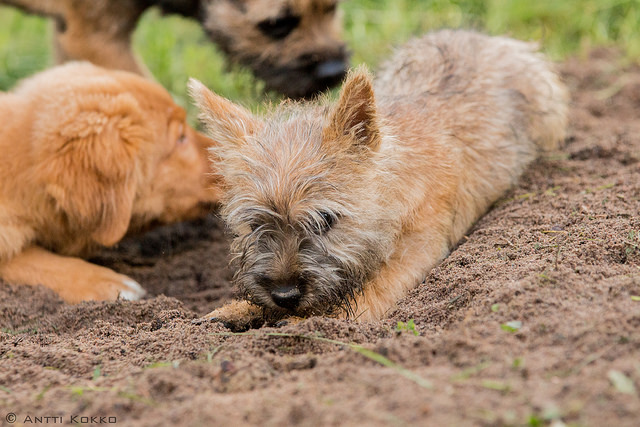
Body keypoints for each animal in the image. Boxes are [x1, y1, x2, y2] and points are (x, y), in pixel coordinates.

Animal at [190, 30, 568, 328]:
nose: (284, 295)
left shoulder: (413, 257)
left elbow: (361, 300)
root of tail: (486, 38)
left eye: (326, 220)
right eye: (254, 225)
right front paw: (235, 310)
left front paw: (298, 322)